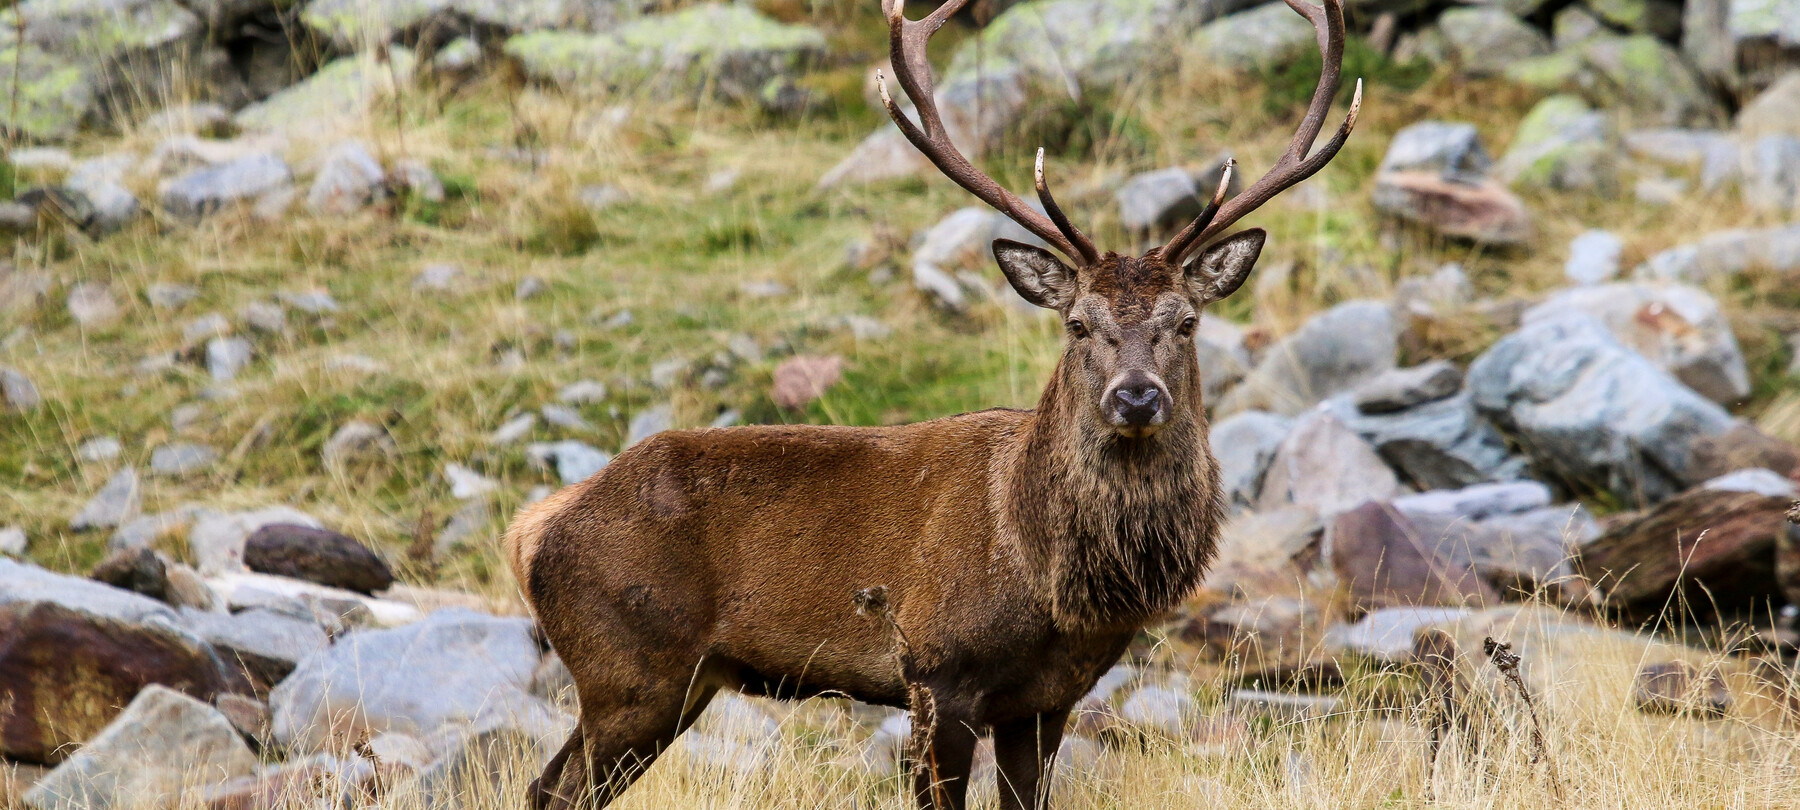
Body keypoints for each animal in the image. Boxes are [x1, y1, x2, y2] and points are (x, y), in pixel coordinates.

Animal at [505, 0, 1358, 806]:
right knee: (557, 787)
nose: (1138, 397)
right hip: (631, 668)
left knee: (548, 784)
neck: (1045, 578)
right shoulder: (935, 673)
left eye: (1186, 321)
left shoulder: (1045, 702)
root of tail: (529, 531)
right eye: (1077, 323)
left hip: (669, 682)